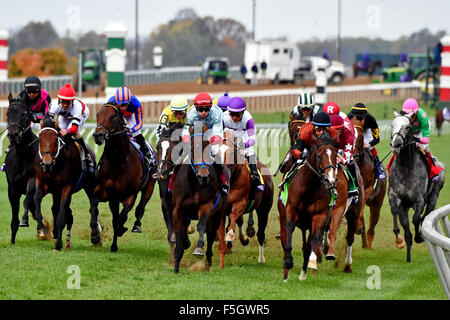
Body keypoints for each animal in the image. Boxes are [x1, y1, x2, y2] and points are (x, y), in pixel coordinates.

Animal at [4, 94, 44, 244]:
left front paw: (25, 220)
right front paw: (12, 240)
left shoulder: (32, 179)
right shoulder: (12, 187)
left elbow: (27, 201)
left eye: (23, 114)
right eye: (8, 113)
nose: (13, 134)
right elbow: (15, 213)